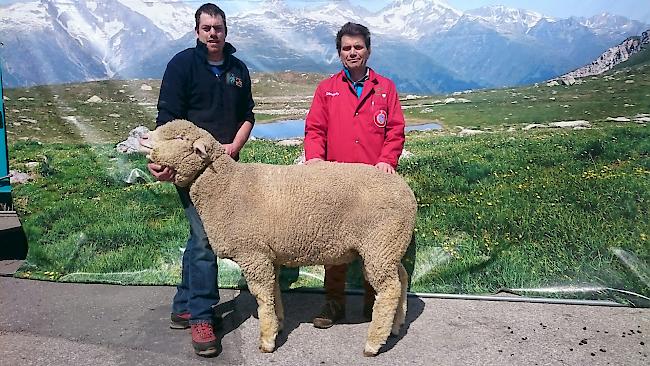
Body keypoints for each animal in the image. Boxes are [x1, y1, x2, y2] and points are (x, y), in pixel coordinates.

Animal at [139, 120, 418, 358]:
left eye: (179, 138)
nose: (142, 137)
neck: (227, 186)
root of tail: (407, 191)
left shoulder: (252, 253)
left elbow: (262, 295)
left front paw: (266, 339)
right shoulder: (266, 254)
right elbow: (273, 291)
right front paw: (278, 324)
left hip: (379, 244)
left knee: (390, 289)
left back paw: (373, 343)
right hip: (390, 245)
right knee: (402, 278)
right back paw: (397, 325)